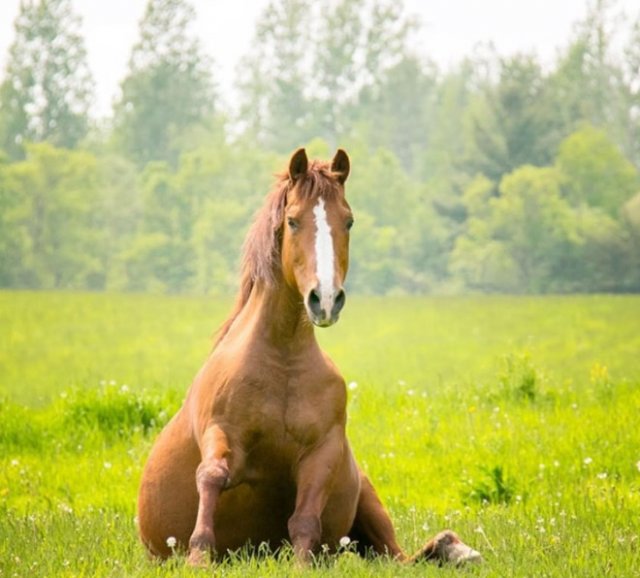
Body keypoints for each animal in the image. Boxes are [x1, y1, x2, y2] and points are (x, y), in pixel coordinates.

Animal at [139, 146, 480, 564]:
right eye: (293, 220)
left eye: (348, 221)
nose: (326, 299)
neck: (281, 358)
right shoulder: (219, 431)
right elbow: (212, 475)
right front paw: (199, 555)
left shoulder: (323, 451)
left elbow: (304, 519)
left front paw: (301, 563)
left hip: (368, 503)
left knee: (402, 558)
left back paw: (456, 548)